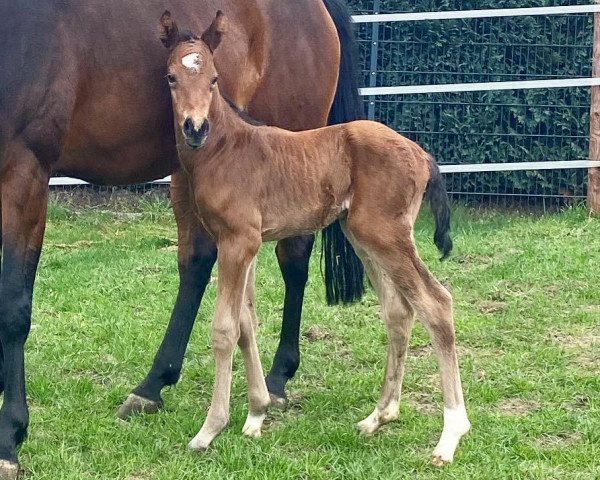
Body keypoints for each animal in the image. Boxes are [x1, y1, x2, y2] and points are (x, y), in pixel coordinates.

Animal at [0, 0, 366, 476]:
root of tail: (319, 10)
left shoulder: (24, 171)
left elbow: (14, 306)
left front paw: (10, 436)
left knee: (294, 258)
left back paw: (278, 379)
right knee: (197, 261)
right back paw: (152, 385)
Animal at [164, 10, 474, 462]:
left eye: (215, 79)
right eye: (171, 77)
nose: (194, 127)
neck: (225, 148)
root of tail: (422, 154)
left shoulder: (239, 242)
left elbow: (224, 329)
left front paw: (210, 430)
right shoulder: (243, 244)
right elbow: (246, 322)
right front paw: (255, 416)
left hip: (384, 235)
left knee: (436, 303)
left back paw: (450, 435)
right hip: (363, 236)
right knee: (399, 311)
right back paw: (379, 416)